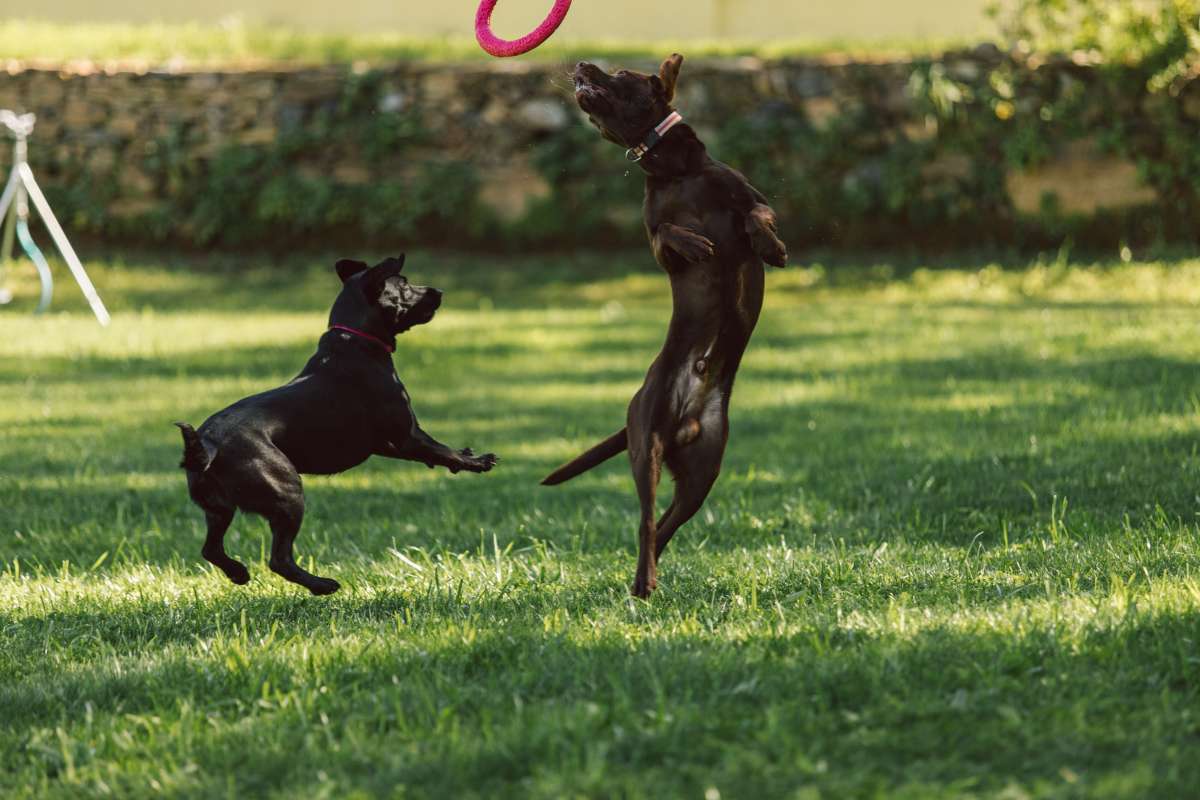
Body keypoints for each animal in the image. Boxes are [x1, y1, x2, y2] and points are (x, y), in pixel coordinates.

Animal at [175, 256, 496, 594]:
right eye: (404, 284)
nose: (439, 291)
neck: (355, 341)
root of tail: (207, 444)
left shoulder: (388, 443)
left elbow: (434, 454)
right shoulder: (408, 434)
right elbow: (442, 449)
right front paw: (476, 461)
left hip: (218, 509)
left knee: (211, 549)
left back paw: (238, 572)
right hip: (287, 493)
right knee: (279, 559)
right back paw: (322, 585)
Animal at [544, 53, 787, 597]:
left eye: (619, 73)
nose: (582, 63)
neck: (676, 173)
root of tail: (689, 414)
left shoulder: (752, 196)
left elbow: (756, 215)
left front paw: (772, 248)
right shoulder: (656, 241)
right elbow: (669, 235)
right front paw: (696, 243)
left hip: (703, 475)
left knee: (666, 525)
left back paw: (649, 575)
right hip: (647, 449)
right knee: (647, 520)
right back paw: (643, 580)